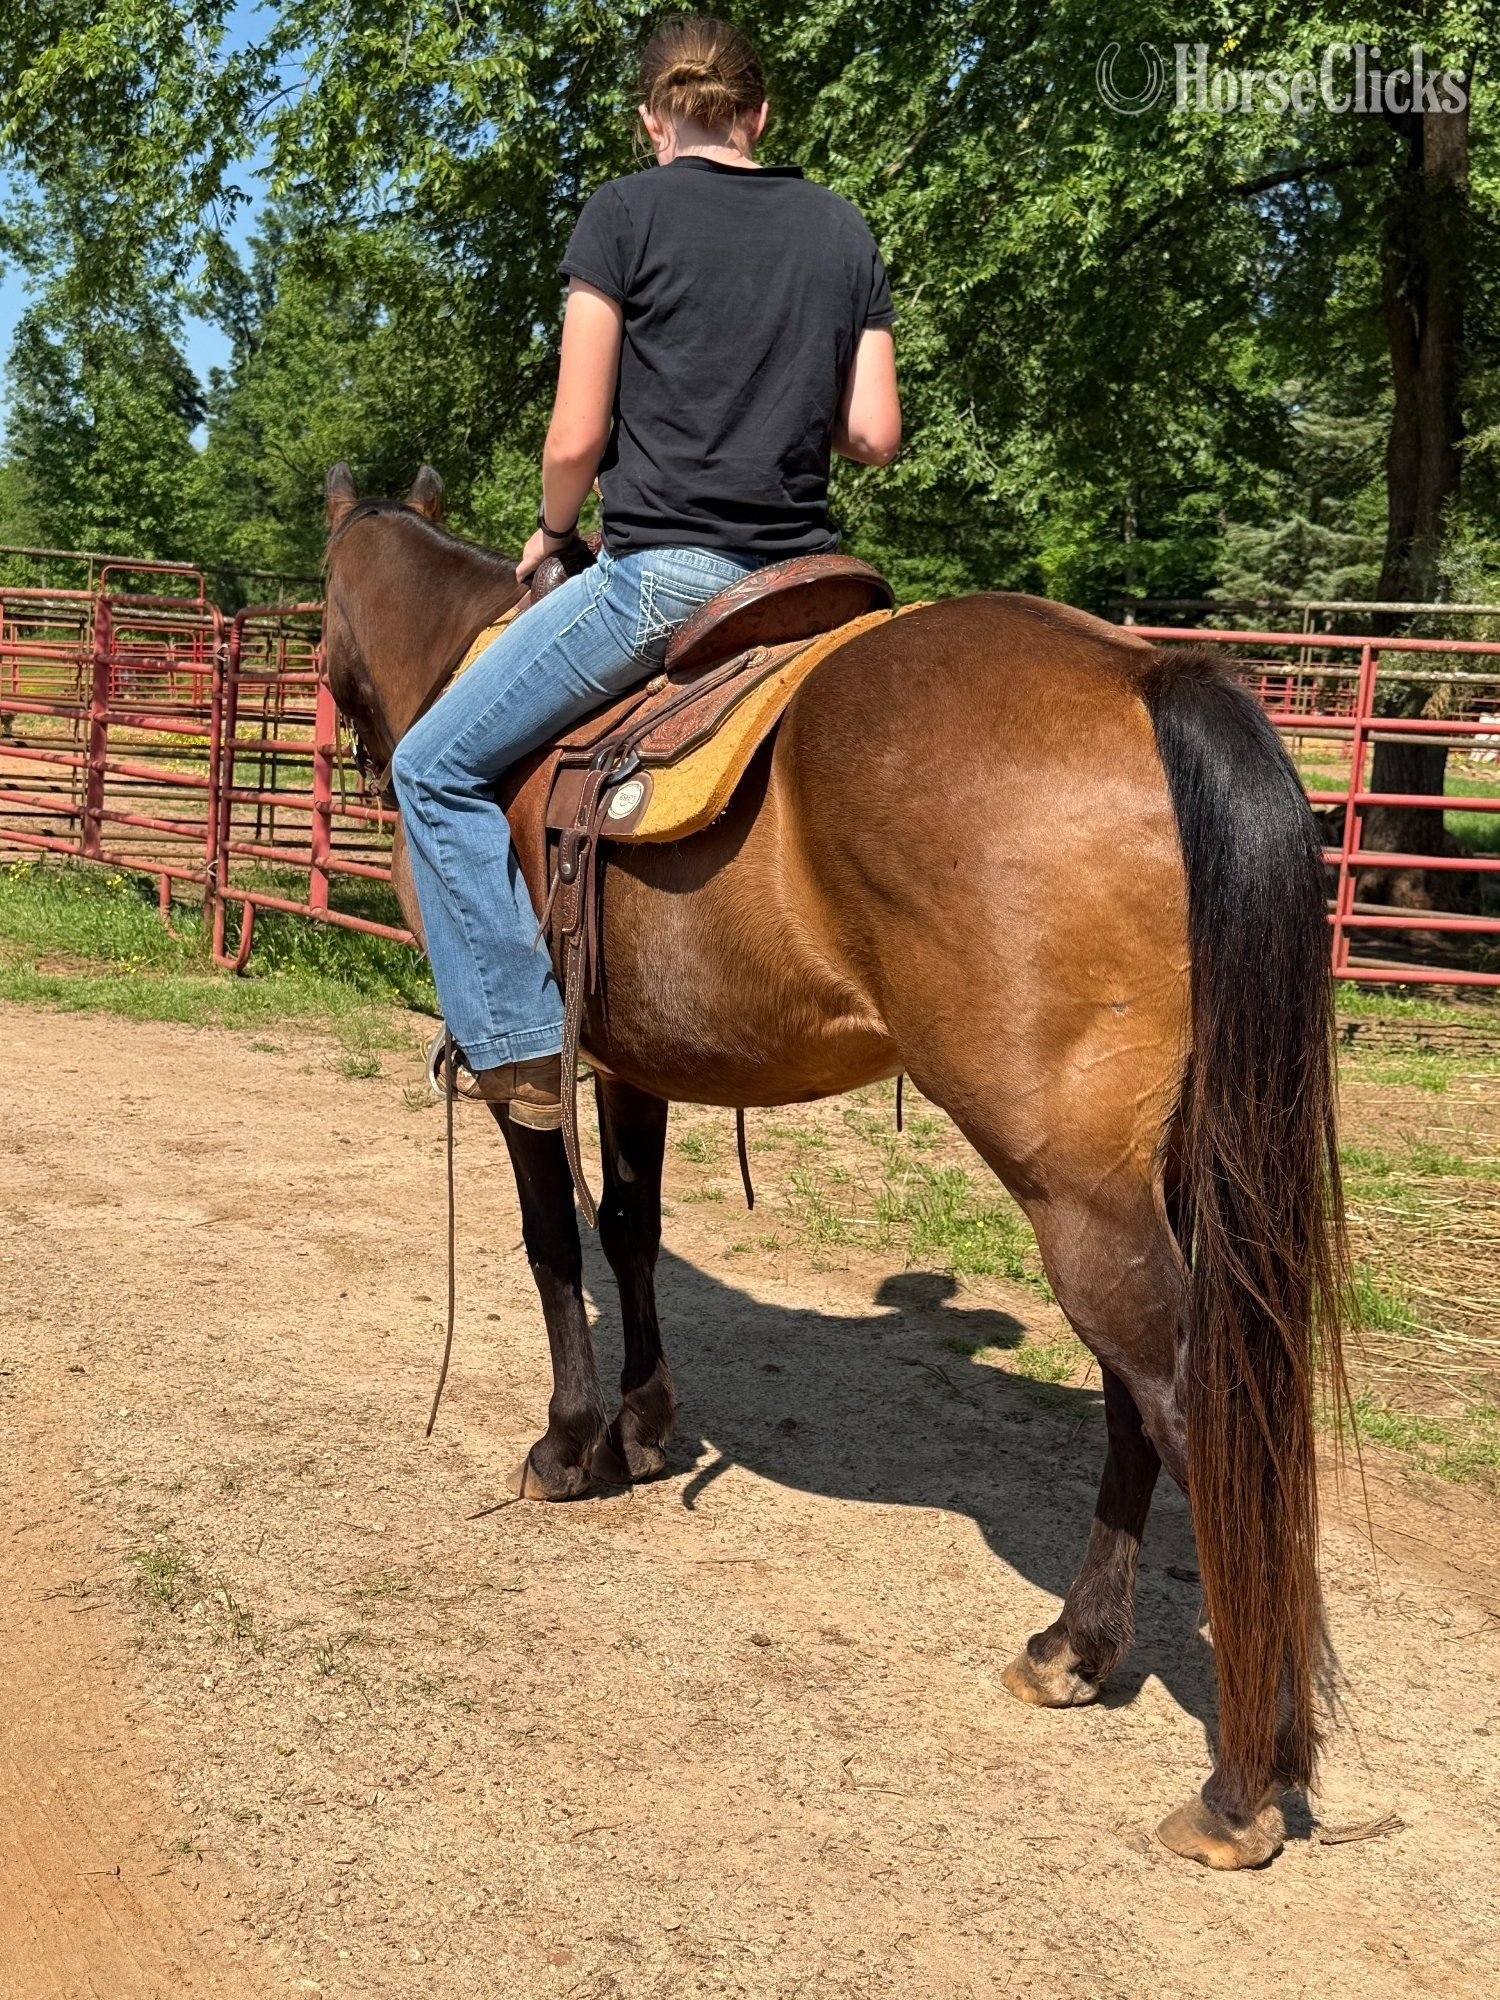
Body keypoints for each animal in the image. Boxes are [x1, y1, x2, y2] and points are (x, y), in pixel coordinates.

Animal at [321, 463, 1346, 1871]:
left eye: (322, 618)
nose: (356, 741)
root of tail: (1143, 672)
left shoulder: (515, 1054)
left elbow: (551, 1237)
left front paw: (572, 1442)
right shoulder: (638, 1059)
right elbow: (631, 1226)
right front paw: (645, 1425)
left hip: (1074, 1185)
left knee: (1187, 1401)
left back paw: (1241, 1780)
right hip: (1155, 1172)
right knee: (1145, 1394)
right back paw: (1076, 1648)